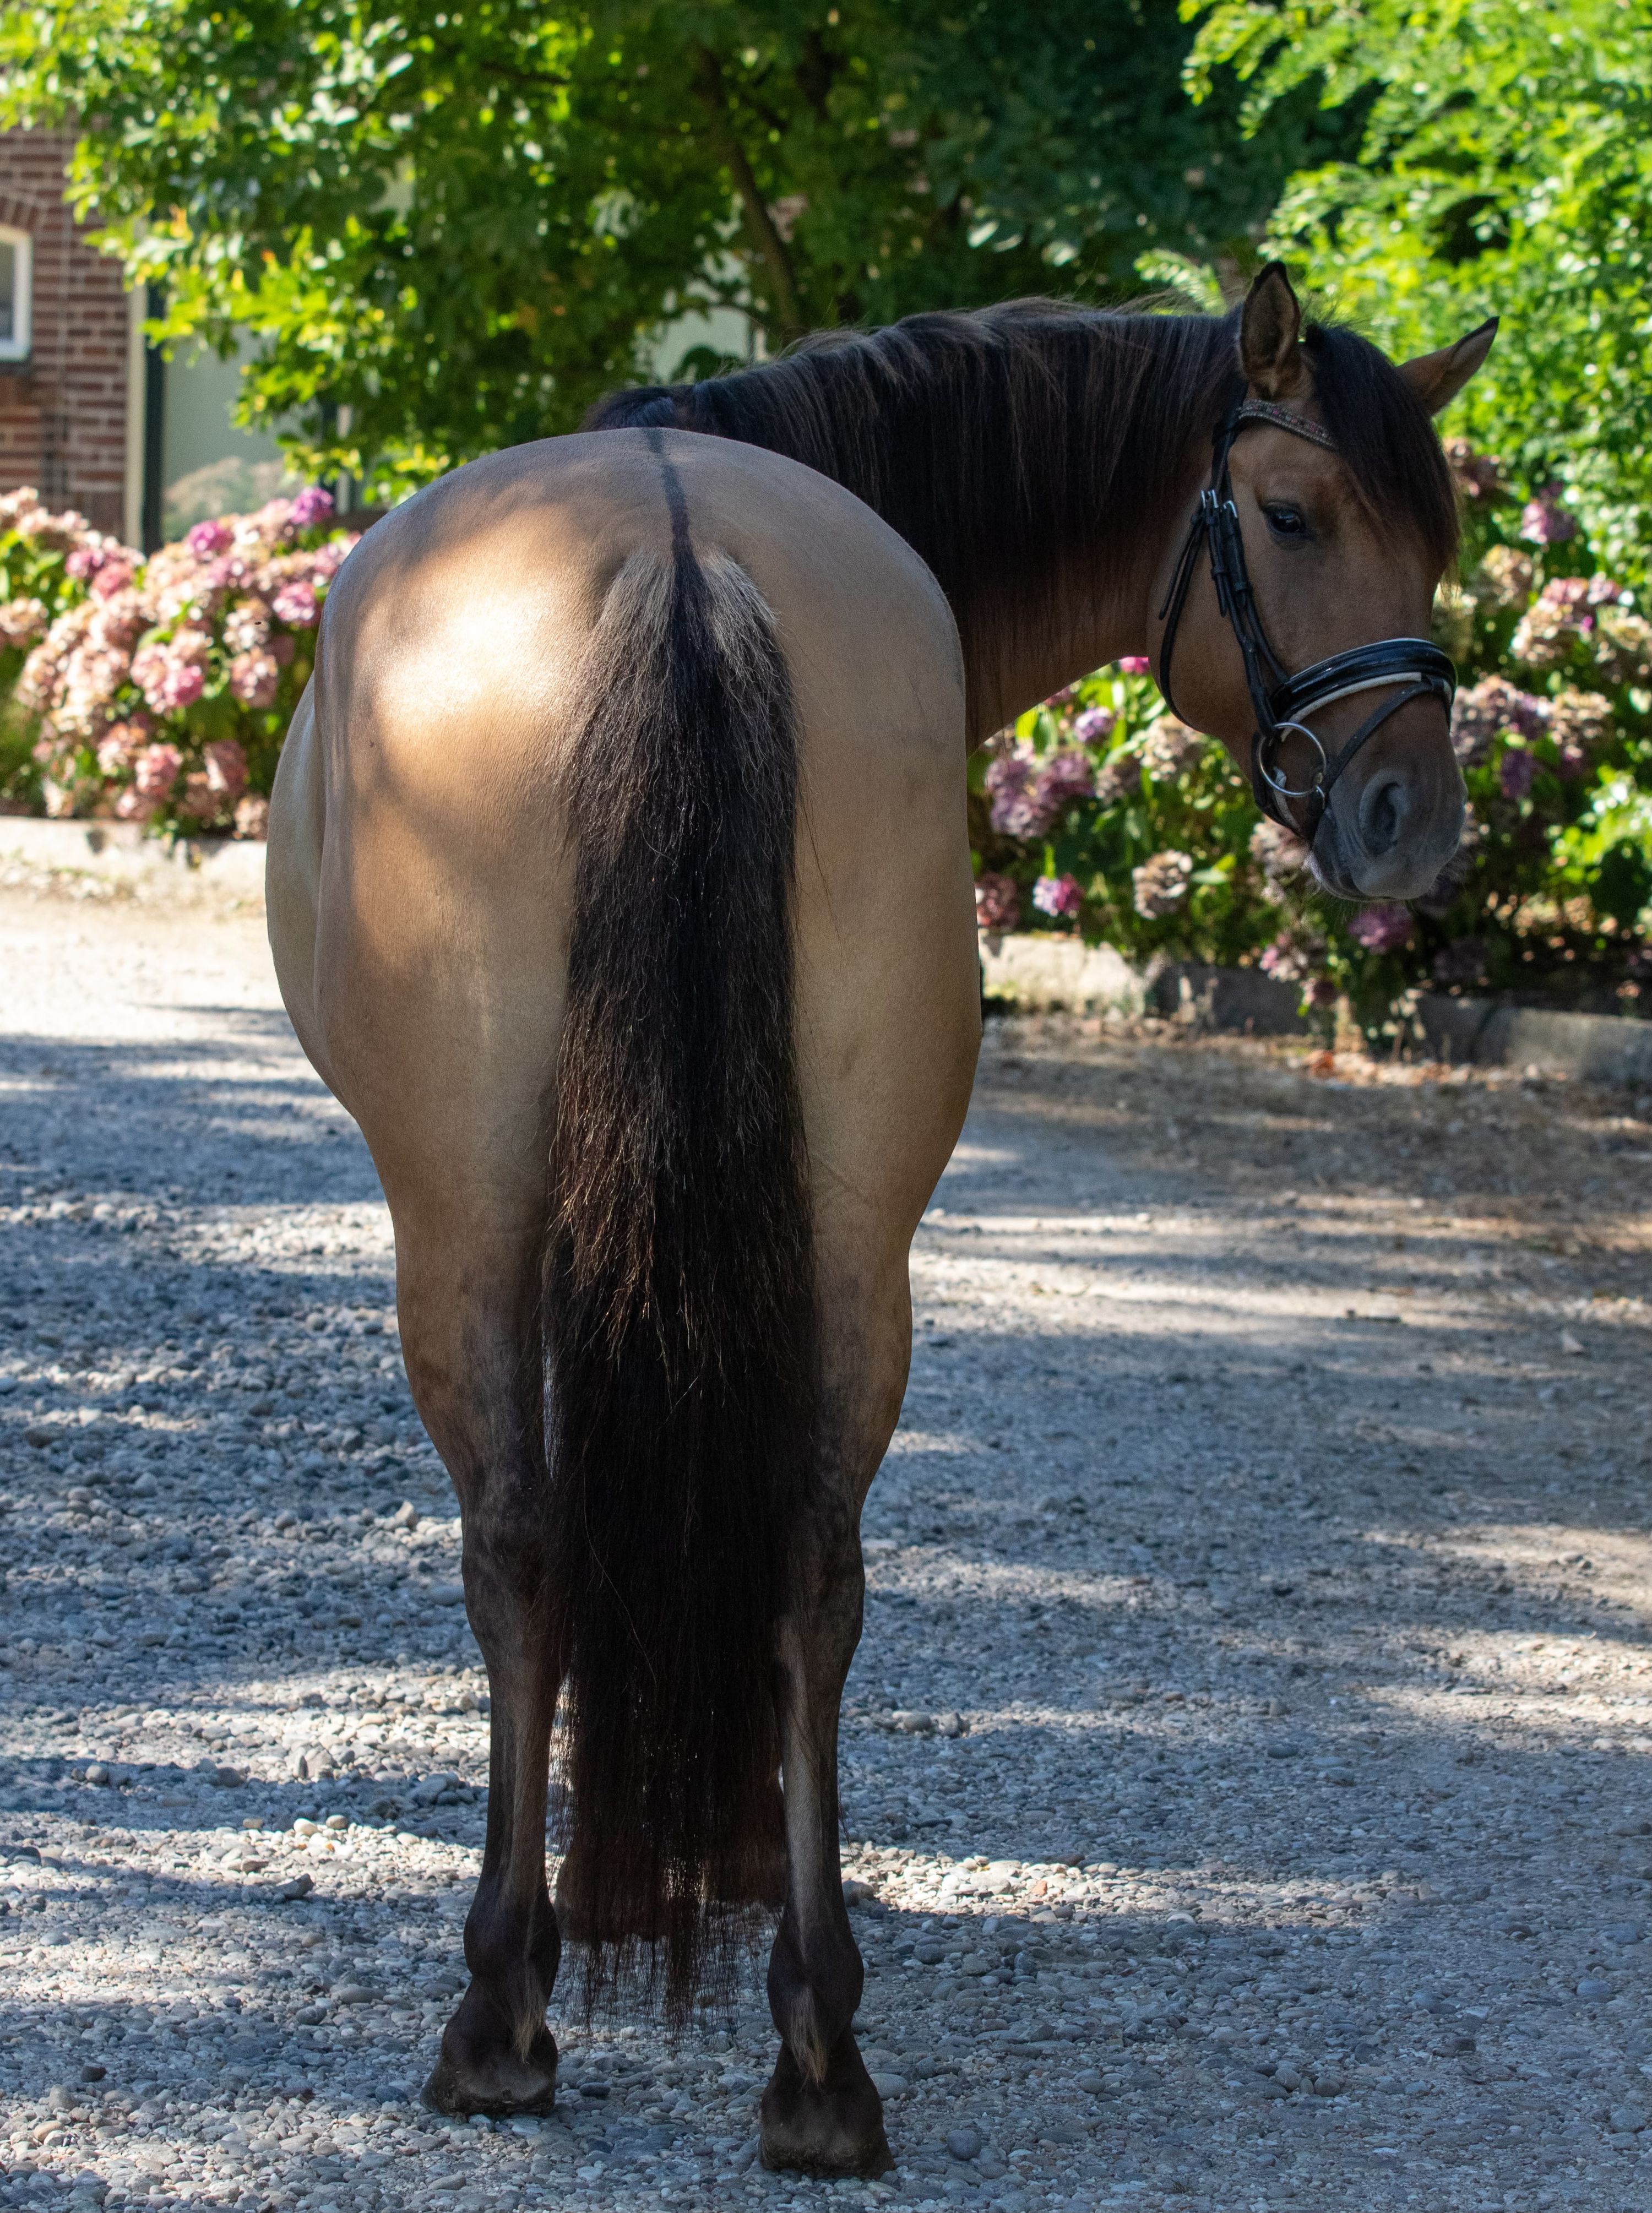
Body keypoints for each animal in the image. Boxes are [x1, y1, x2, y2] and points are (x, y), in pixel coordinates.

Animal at [267, 262, 1493, 2177]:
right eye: (1296, 516)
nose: (1410, 823)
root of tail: (680, 564)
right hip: (856, 1222)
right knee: (810, 1556)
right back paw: (817, 2051)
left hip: (460, 1216)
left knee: (525, 1543)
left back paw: (504, 2013)